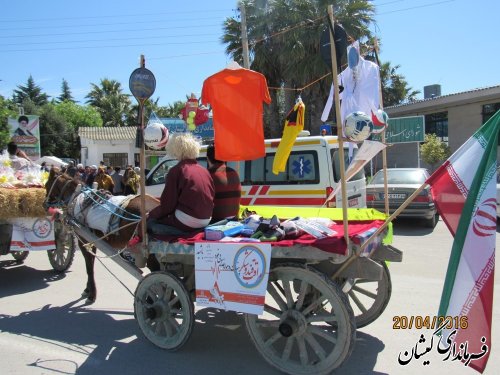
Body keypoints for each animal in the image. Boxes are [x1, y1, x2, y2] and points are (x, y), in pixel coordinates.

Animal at [44, 169, 159, 304]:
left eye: (46, 184)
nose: (44, 204)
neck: (77, 197)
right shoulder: (92, 242)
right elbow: (91, 264)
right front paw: (88, 290)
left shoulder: (84, 241)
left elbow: (89, 266)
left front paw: (91, 294)